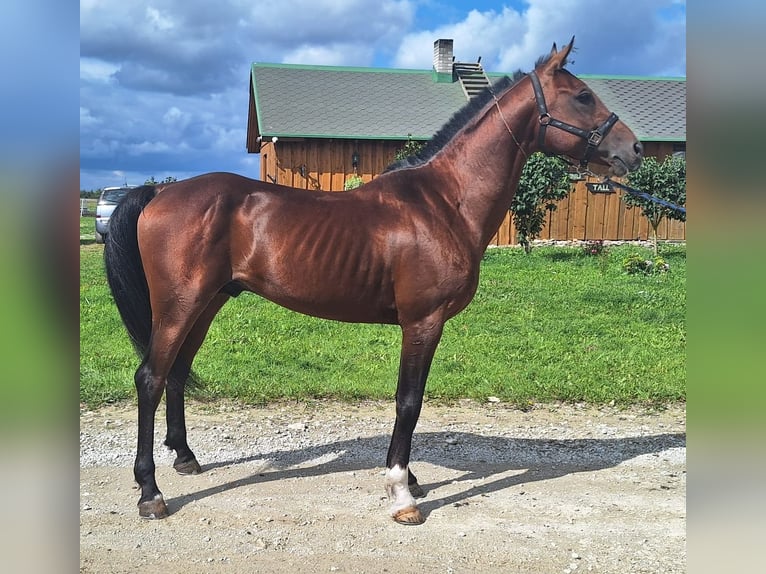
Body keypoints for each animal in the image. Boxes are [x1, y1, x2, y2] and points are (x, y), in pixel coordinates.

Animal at [102, 37, 640, 528]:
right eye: (583, 96)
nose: (633, 149)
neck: (443, 202)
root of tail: (159, 193)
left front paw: (413, 480)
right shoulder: (423, 322)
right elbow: (409, 401)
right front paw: (402, 492)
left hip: (207, 302)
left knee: (175, 373)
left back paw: (185, 457)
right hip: (180, 304)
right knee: (150, 378)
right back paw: (150, 492)